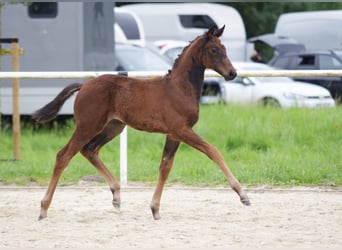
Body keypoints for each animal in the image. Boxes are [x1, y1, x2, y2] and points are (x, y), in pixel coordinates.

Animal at [32, 25, 251, 221]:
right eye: (214, 49)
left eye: (224, 48)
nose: (232, 73)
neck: (179, 88)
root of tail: (84, 84)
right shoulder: (182, 129)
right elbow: (213, 151)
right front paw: (243, 195)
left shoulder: (173, 134)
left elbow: (165, 167)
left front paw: (155, 209)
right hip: (88, 126)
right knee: (64, 155)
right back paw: (43, 208)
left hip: (113, 127)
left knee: (90, 150)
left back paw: (116, 194)